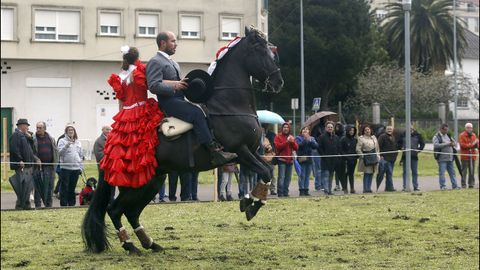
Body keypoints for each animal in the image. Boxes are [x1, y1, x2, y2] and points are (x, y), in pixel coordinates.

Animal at [81, 28, 284, 255]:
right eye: (261, 51)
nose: (278, 82)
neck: (229, 105)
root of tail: (109, 145)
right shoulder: (240, 151)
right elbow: (265, 171)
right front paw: (250, 205)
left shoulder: (252, 151)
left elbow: (268, 170)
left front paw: (250, 200)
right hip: (136, 185)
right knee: (115, 210)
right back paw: (130, 245)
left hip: (151, 181)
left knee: (131, 212)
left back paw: (150, 243)